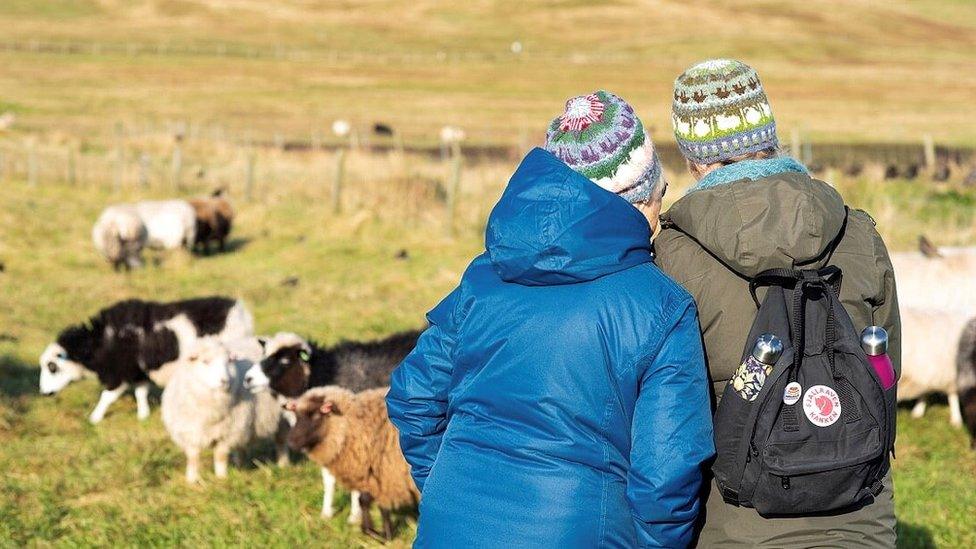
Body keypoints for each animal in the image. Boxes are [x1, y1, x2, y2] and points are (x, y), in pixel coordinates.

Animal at [38, 296, 254, 424]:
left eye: (52, 367)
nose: (44, 393)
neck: (100, 341)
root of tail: (240, 311)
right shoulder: (138, 371)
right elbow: (141, 393)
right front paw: (143, 415)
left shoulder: (120, 372)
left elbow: (107, 397)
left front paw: (94, 418)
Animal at [160, 336, 288, 482]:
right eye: (205, 361)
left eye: (228, 362)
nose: (225, 381)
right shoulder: (190, 433)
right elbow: (193, 457)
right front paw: (192, 480)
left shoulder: (227, 433)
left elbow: (220, 456)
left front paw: (221, 478)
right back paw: (239, 466)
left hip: (280, 418)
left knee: (281, 441)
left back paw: (283, 464)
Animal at [284, 386, 418, 540]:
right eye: (296, 416)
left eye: (317, 415)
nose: (291, 442)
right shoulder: (373, 474)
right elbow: (363, 500)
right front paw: (369, 530)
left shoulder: (387, 474)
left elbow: (381, 506)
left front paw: (385, 534)